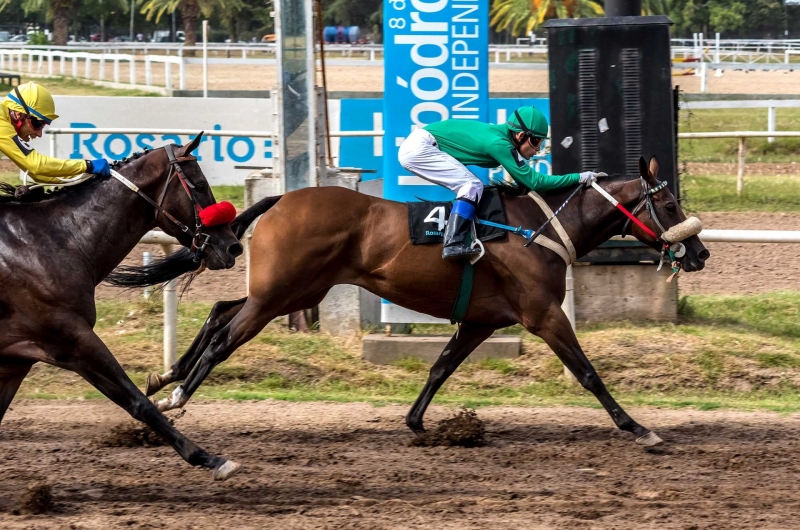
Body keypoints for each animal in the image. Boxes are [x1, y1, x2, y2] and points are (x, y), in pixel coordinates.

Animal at [0, 135, 247, 478]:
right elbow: (138, 401)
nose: (232, 246)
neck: (51, 240)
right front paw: (211, 458)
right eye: (199, 185)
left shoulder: (16, 358)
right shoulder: (72, 339)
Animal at [117, 156, 708, 446]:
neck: (537, 228)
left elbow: (440, 367)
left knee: (221, 311)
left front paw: (420, 422)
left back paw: (166, 377)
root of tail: (284, 196)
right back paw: (178, 396)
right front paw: (639, 429)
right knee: (224, 338)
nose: (700, 252)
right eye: (670, 203)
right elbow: (588, 372)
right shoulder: (543, 315)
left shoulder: (482, 320)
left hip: (293, 289)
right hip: (279, 293)